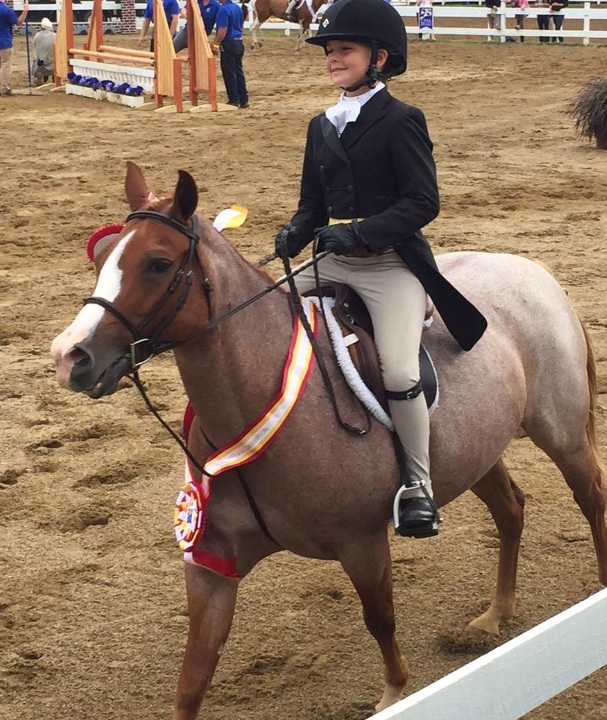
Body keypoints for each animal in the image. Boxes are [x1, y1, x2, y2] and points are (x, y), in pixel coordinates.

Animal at [51, 163, 607, 720]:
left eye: (158, 263)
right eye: (101, 257)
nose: (69, 356)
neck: (261, 403)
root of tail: (529, 269)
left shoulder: (361, 543)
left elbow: (380, 621)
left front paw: (393, 691)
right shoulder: (212, 564)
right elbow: (194, 676)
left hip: (560, 435)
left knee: (590, 497)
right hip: (478, 451)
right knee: (510, 511)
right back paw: (496, 615)